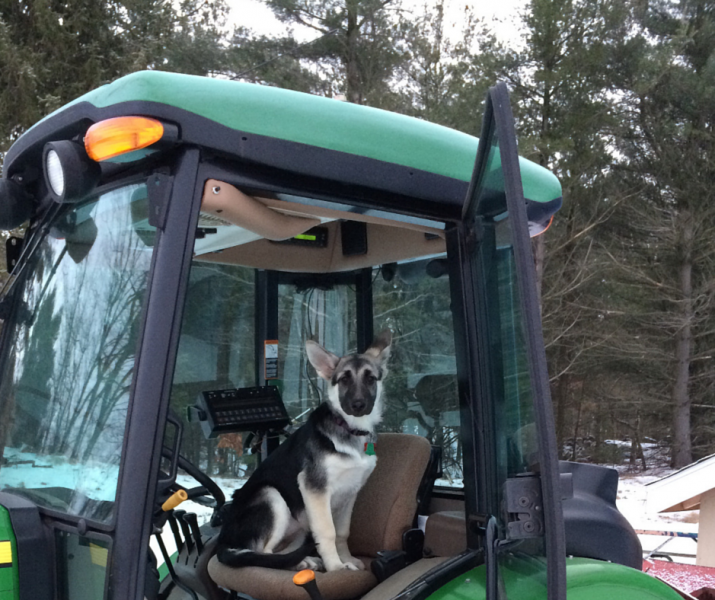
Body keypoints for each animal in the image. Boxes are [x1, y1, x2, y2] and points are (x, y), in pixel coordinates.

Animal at [217, 332, 392, 572]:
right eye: (344, 379)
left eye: (370, 379)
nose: (358, 405)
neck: (350, 429)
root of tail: (223, 541)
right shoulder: (314, 488)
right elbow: (328, 532)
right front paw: (336, 567)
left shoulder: (350, 493)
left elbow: (342, 532)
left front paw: (346, 559)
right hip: (272, 496)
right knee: (262, 554)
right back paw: (300, 563)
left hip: (300, 524)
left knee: (280, 552)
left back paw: (305, 560)